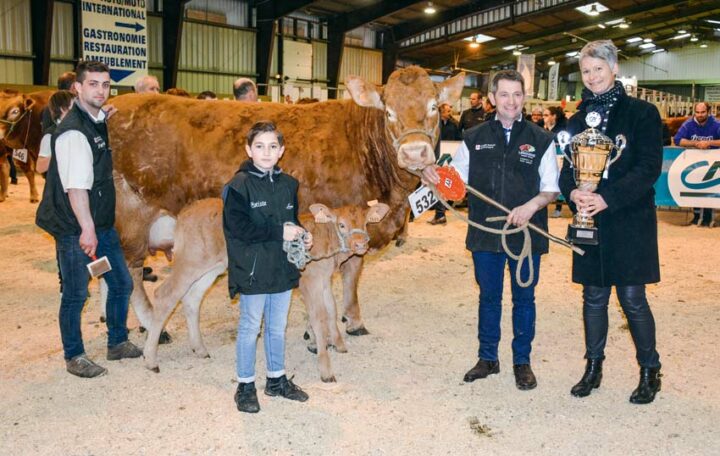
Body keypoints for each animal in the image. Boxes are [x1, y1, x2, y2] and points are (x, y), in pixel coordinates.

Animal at [108, 67, 466, 338]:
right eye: (389, 111)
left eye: (434, 107)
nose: (415, 152)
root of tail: (116, 105)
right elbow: (341, 274)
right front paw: (322, 325)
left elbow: (353, 275)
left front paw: (353, 319)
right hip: (130, 212)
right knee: (130, 271)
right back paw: (150, 323)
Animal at [144, 199, 390, 382]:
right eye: (341, 224)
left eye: (366, 223)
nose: (360, 244)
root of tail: (187, 210)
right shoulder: (309, 281)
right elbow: (319, 317)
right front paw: (325, 369)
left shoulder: (324, 280)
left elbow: (331, 308)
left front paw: (337, 344)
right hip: (190, 260)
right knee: (164, 295)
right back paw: (150, 360)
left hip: (211, 267)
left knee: (192, 299)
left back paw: (200, 349)